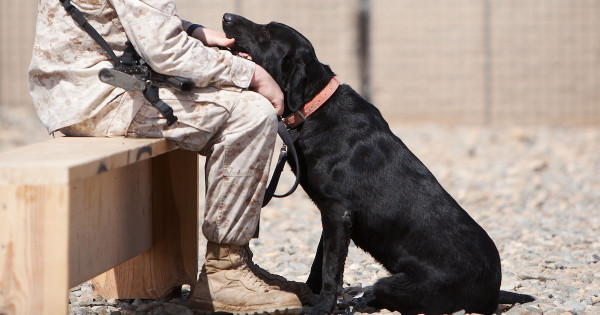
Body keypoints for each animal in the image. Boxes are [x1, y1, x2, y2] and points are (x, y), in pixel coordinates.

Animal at [223, 12, 532, 315]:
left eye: (266, 32)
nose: (226, 16)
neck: (315, 106)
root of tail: (492, 292)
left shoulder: (337, 212)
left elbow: (330, 271)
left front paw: (322, 308)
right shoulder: (333, 217)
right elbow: (320, 264)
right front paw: (309, 296)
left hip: (392, 282)